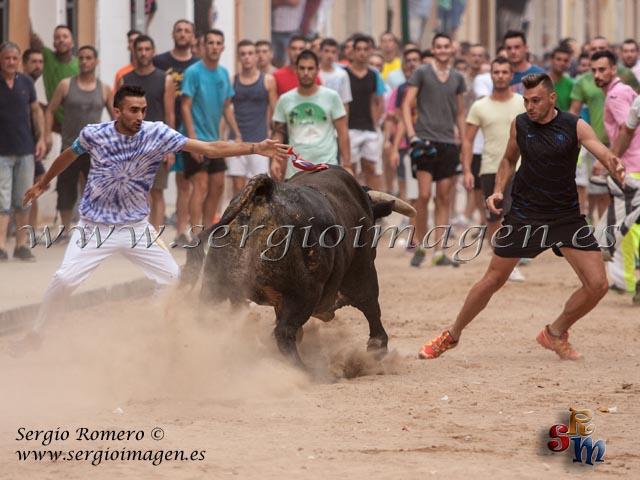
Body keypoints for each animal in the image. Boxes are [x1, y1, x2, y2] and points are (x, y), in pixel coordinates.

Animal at [181, 166, 416, 366]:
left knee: (207, 321)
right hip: (303, 293)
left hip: (215, 287)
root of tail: (266, 192)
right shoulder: (362, 272)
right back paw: (304, 370)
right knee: (284, 332)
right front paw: (377, 348)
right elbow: (371, 306)